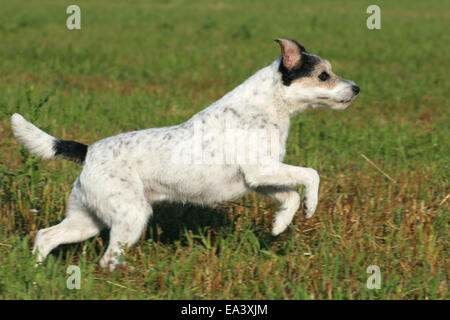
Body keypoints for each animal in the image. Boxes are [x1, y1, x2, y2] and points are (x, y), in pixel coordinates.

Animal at [11, 39, 358, 270]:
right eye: (323, 75)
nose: (356, 88)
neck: (268, 105)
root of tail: (88, 151)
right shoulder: (262, 170)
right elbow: (310, 176)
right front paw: (311, 206)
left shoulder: (260, 179)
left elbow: (290, 196)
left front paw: (279, 225)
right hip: (131, 216)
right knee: (107, 259)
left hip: (88, 219)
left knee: (45, 236)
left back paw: (36, 272)